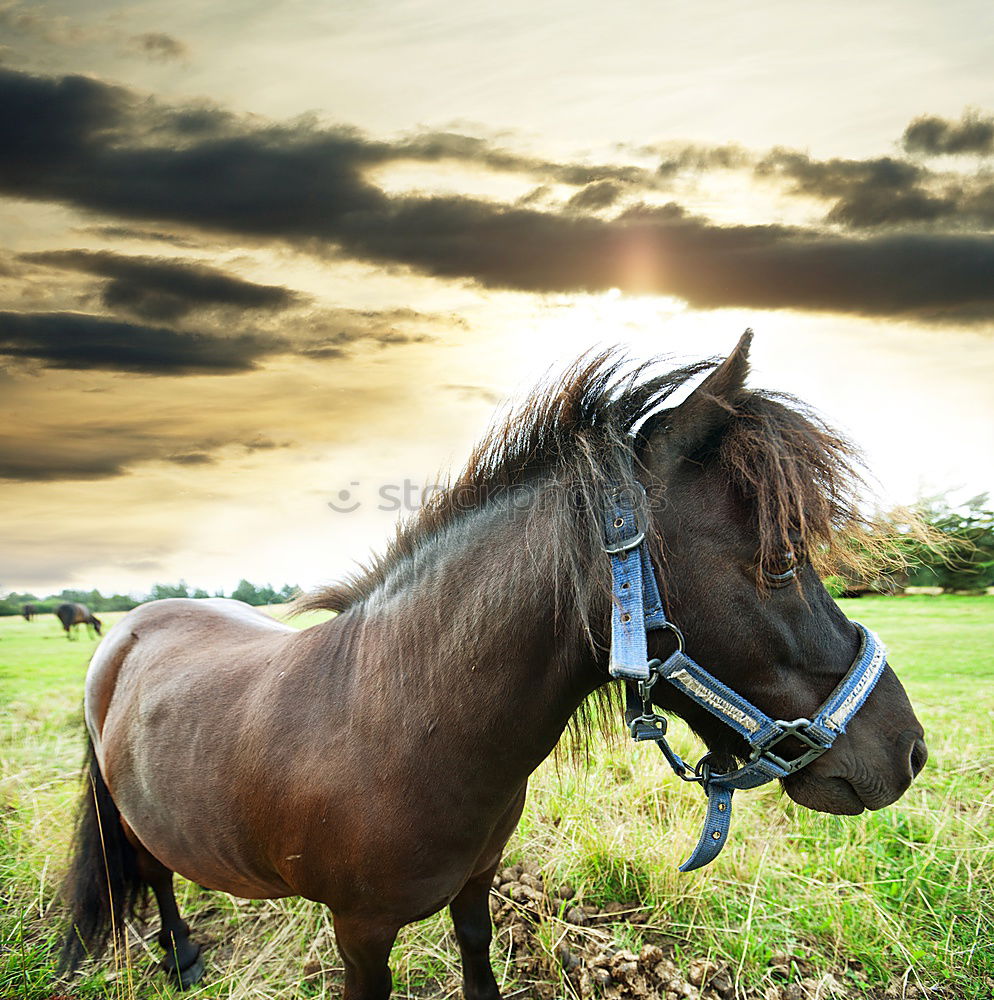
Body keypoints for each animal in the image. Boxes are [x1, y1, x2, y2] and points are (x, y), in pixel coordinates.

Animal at [66, 332, 928, 996]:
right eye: (781, 561)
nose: (909, 751)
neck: (402, 728)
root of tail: (128, 629)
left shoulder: (476, 887)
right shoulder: (360, 934)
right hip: (135, 820)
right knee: (154, 874)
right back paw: (182, 956)